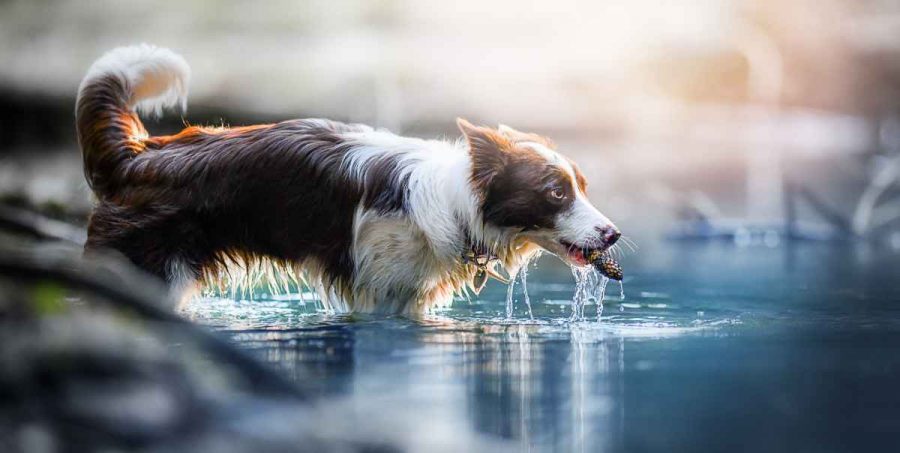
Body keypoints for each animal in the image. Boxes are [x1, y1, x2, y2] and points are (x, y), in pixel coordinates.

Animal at [75, 45, 620, 314]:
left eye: (583, 187)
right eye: (556, 192)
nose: (613, 234)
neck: (457, 200)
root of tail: (140, 154)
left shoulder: (407, 300)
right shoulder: (379, 291)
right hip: (147, 270)